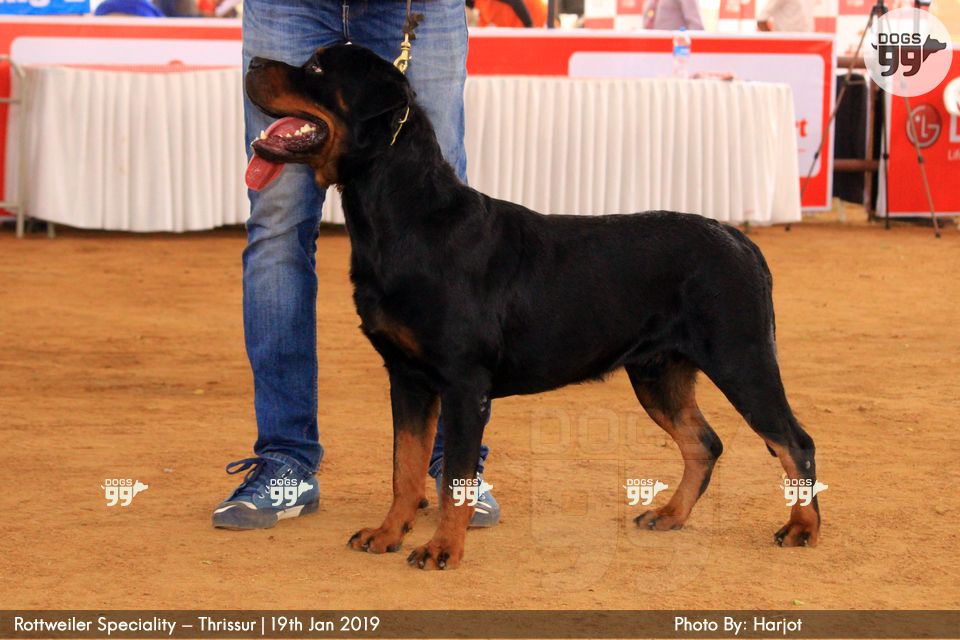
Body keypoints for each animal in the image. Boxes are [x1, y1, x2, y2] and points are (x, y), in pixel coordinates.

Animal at [244, 44, 821, 570]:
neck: (404, 220)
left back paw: (801, 527)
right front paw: (388, 533)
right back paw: (670, 515)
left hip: (741, 357)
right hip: (657, 372)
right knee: (705, 442)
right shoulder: (406, 377)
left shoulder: (464, 383)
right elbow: (404, 466)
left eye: (317, 68)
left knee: (794, 440)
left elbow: (454, 476)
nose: (252, 63)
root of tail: (739, 239)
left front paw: (441, 548)